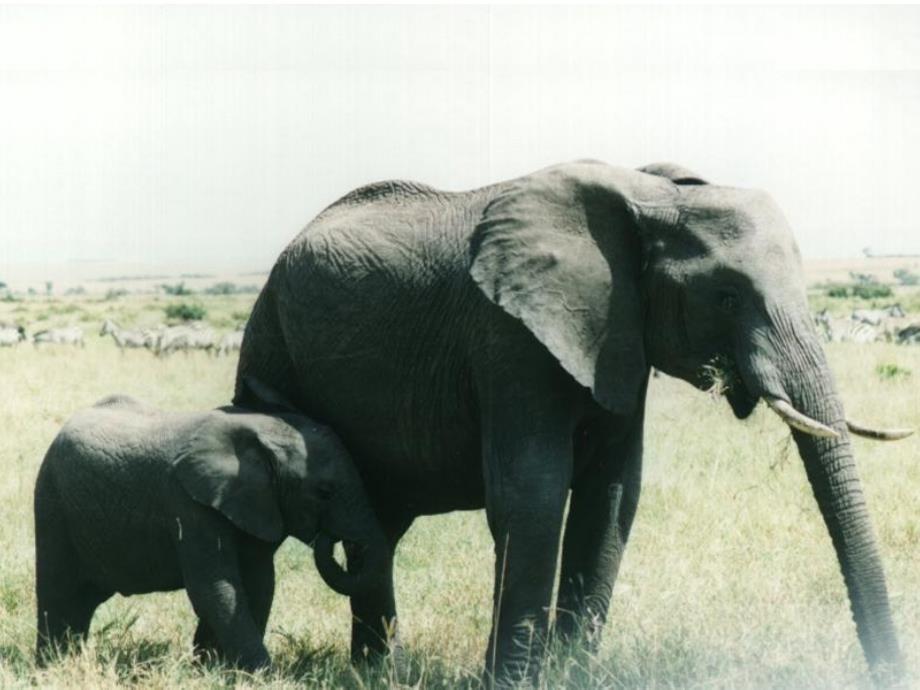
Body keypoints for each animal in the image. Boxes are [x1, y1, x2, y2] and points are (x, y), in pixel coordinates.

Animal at [35, 378, 388, 668]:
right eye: (325, 492)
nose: (331, 538)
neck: (258, 434)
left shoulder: (256, 506)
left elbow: (260, 583)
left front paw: (218, 669)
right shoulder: (188, 503)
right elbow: (216, 586)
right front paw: (263, 673)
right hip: (52, 501)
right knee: (59, 592)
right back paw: (52, 667)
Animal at [234, 161, 908, 684]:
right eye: (727, 297)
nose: (889, 674)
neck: (651, 197)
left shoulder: (619, 335)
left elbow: (611, 496)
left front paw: (572, 677)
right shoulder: (507, 338)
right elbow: (531, 495)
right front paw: (510, 684)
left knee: (378, 532)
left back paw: (377, 674)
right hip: (267, 337)